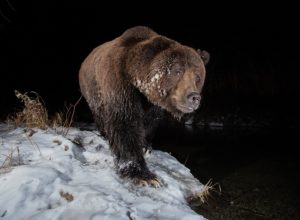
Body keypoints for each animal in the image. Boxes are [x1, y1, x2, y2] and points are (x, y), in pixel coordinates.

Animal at [78, 26, 210, 187]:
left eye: (197, 76)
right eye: (177, 71)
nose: (194, 97)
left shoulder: (153, 104)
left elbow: (149, 122)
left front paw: (145, 146)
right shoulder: (119, 84)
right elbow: (125, 124)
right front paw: (143, 175)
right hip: (93, 91)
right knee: (100, 115)